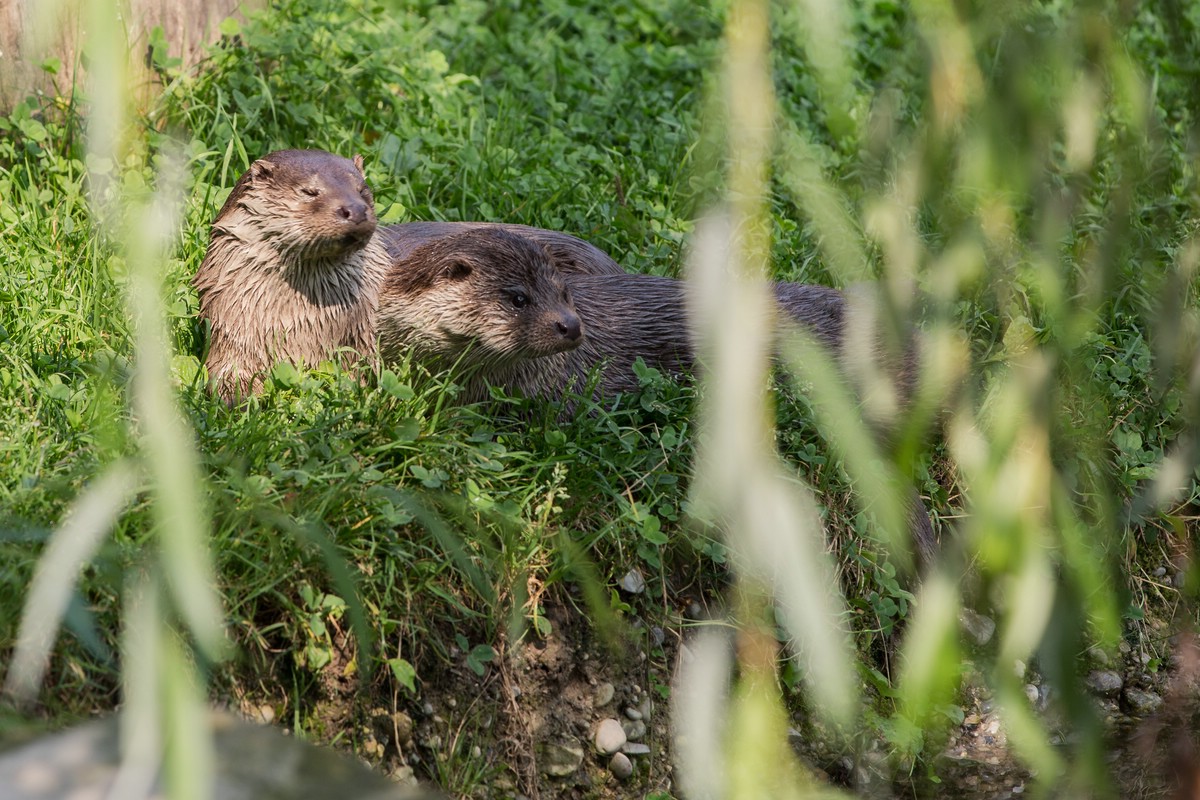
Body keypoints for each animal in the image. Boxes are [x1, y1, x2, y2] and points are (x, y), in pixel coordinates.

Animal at [194, 148, 386, 402]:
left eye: (362, 190)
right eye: (309, 192)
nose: (355, 209)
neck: (300, 321)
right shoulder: (231, 323)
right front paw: (236, 392)